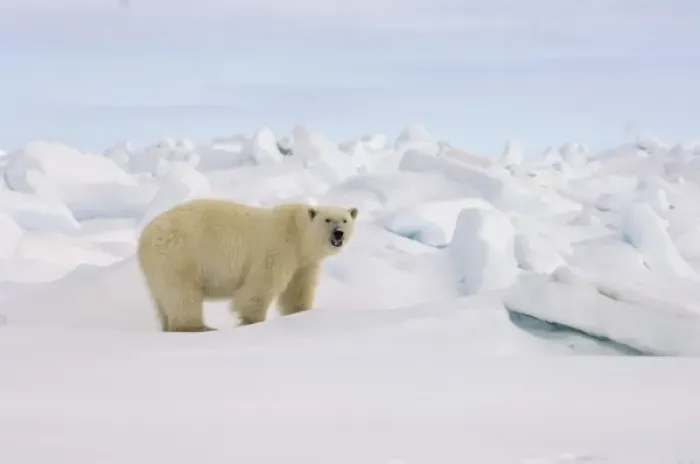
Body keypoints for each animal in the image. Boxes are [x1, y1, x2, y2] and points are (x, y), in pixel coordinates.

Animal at [136, 198, 358, 332]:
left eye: (345, 220)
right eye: (327, 219)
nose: (338, 233)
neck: (298, 233)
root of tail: (145, 235)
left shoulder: (303, 263)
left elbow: (297, 291)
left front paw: (301, 313)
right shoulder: (278, 248)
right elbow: (260, 286)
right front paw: (252, 321)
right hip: (178, 254)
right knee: (182, 294)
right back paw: (199, 327)